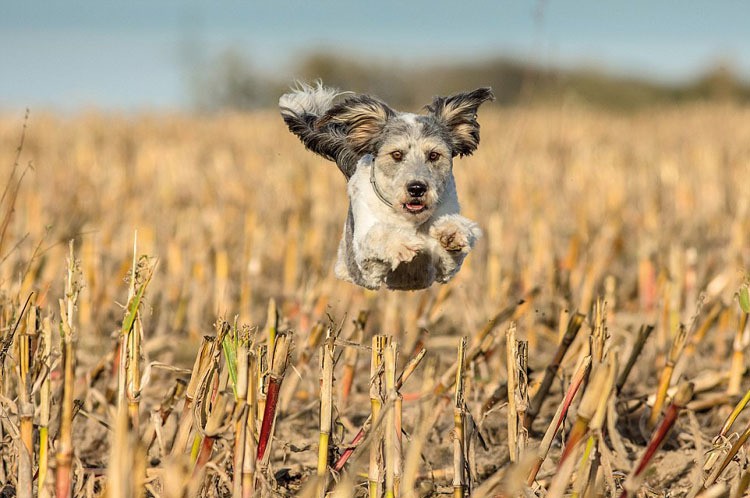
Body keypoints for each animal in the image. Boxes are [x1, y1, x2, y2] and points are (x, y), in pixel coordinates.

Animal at [280, 82, 496, 292]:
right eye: (397, 154)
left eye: (434, 155)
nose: (416, 188)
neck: (409, 220)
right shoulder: (367, 267)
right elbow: (377, 235)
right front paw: (403, 244)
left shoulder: (443, 270)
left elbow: (454, 244)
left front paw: (451, 233)